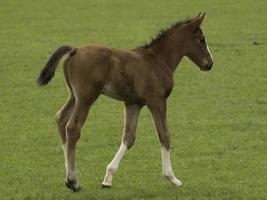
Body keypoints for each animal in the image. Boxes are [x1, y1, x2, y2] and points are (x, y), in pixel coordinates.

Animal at [37, 13, 214, 191]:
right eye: (201, 39)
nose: (210, 63)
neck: (158, 60)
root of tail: (75, 50)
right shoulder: (157, 101)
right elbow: (164, 135)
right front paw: (172, 177)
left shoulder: (133, 103)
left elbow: (129, 137)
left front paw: (108, 177)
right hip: (86, 98)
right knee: (73, 127)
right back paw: (73, 180)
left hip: (74, 96)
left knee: (61, 118)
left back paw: (68, 175)